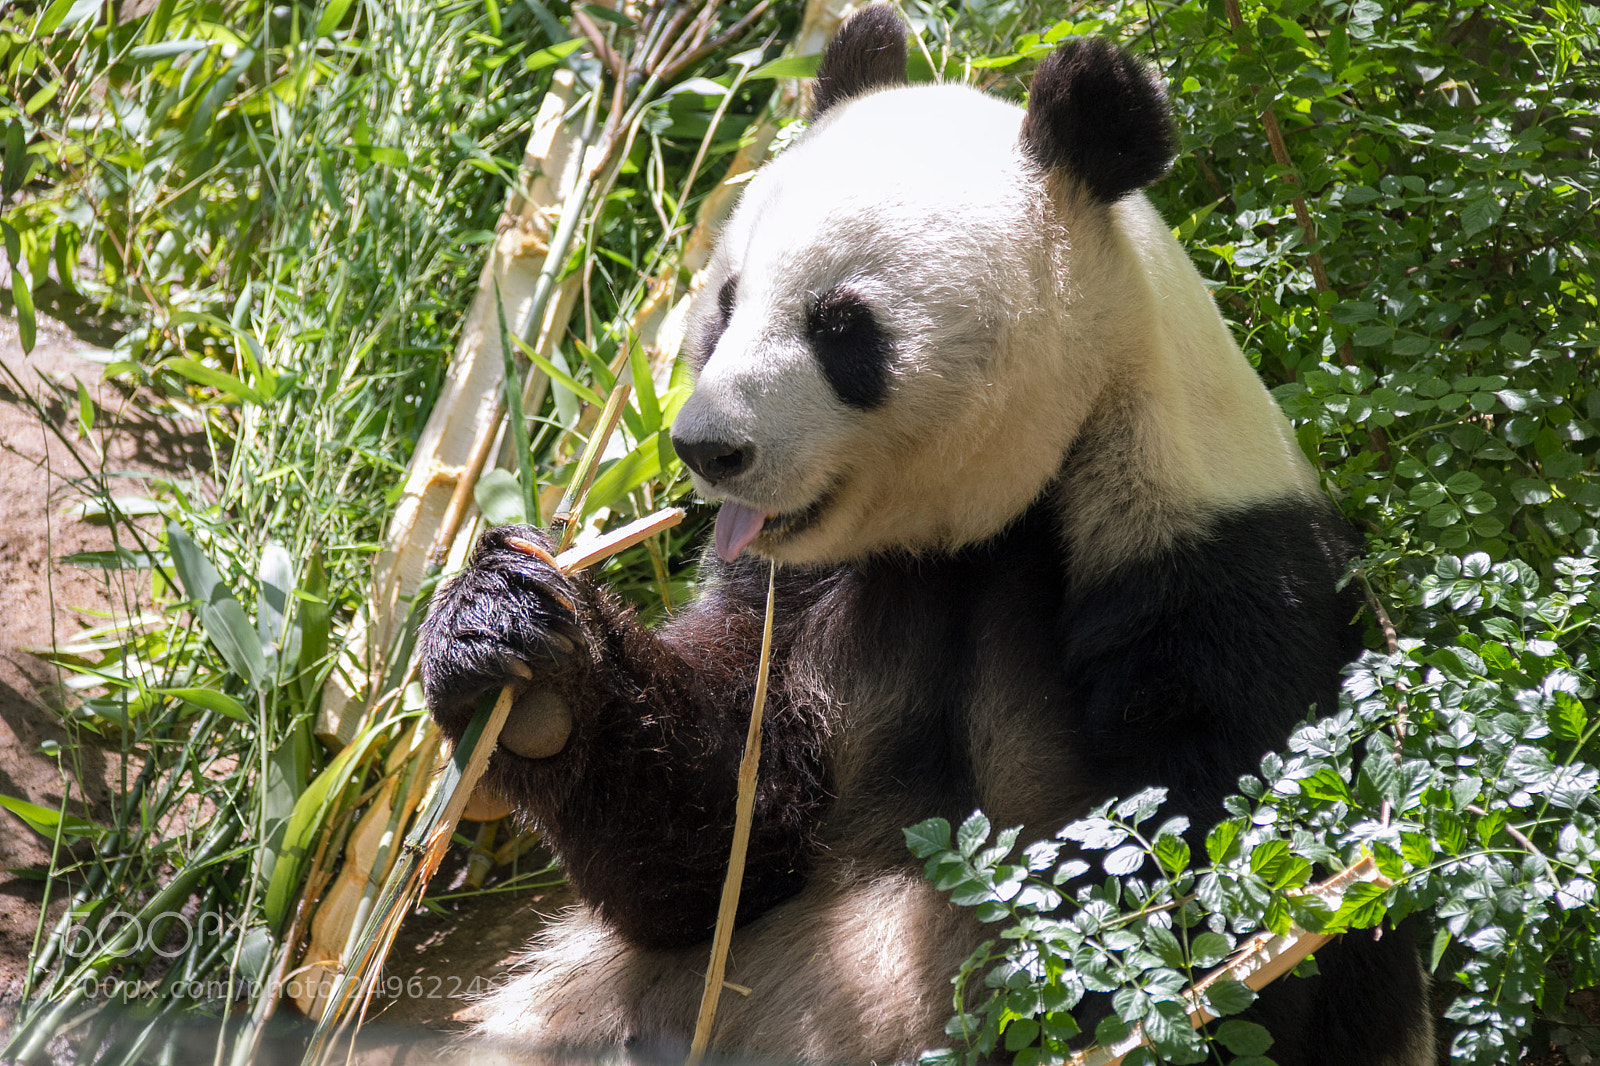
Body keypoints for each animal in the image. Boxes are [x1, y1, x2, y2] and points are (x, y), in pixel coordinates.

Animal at [419, 9, 1433, 1064]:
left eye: (840, 326)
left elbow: (1212, 894)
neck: (981, 524)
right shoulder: (809, 595)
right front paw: (520, 652)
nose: (708, 447)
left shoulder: (1217, 576)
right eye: (726, 302)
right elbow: (723, 843)